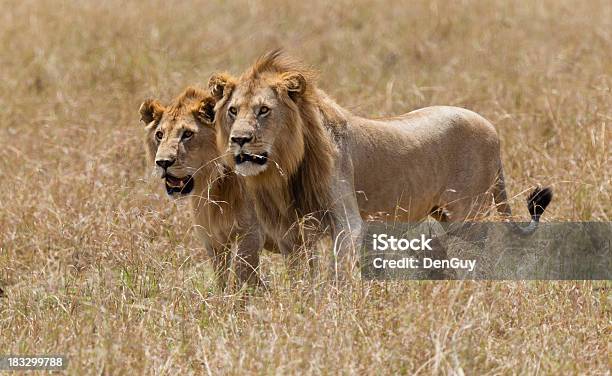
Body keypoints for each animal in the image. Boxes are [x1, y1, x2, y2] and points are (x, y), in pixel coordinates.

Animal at [139, 87, 274, 288]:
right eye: (159, 135)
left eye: (187, 134)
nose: (162, 162)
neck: (214, 184)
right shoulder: (213, 239)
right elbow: (222, 279)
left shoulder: (251, 233)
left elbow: (243, 277)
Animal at [208, 50, 552, 270]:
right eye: (233, 111)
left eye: (264, 110)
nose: (239, 139)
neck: (286, 170)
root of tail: (492, 129)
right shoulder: (289, 232)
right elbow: (302, 278)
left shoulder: (347, 223)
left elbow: (338, 274)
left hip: (468, 216)